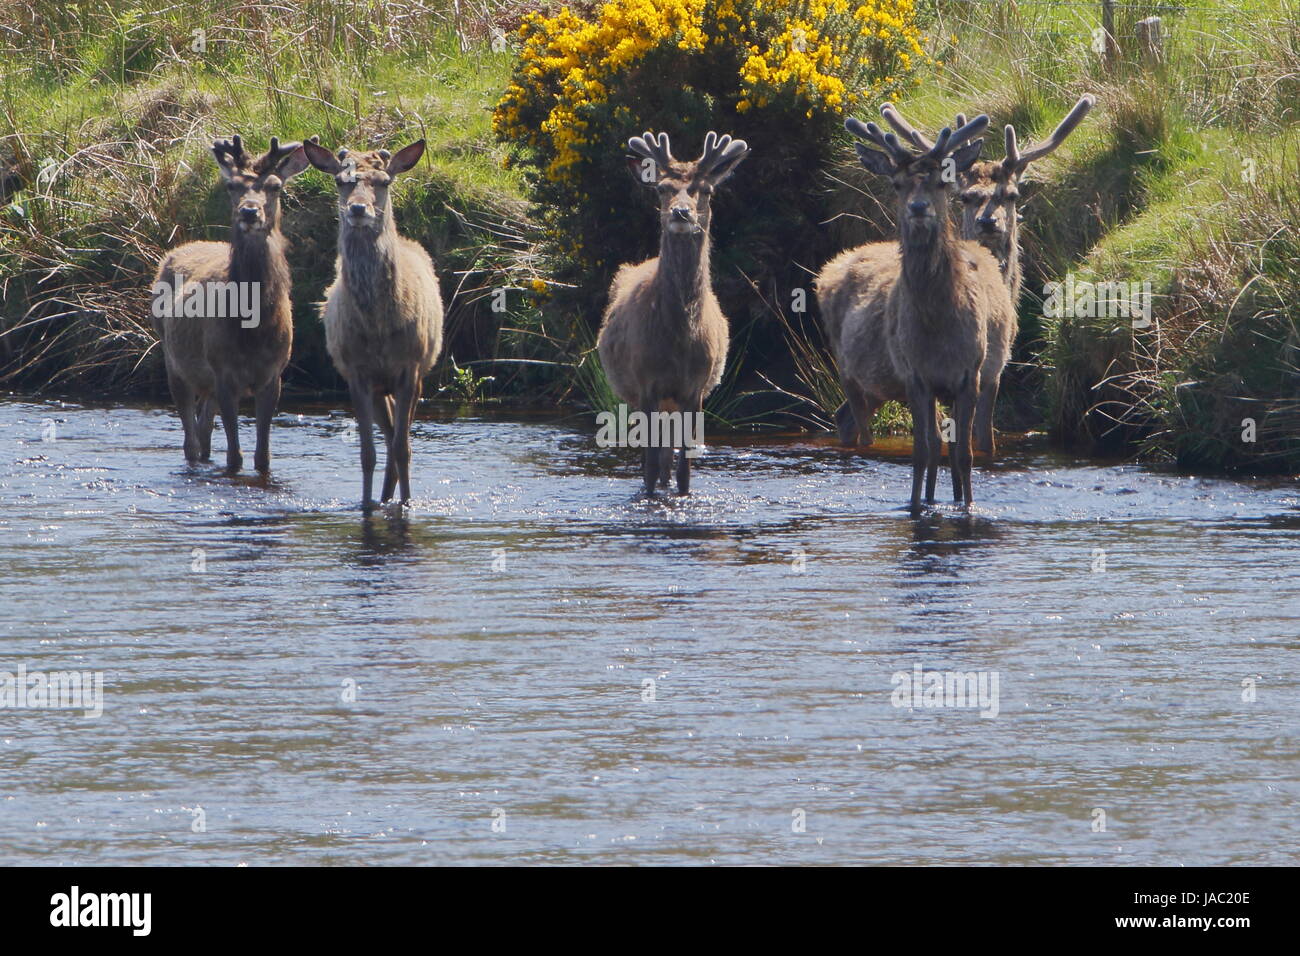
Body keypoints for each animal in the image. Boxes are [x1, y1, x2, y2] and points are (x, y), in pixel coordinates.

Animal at [150, 132, 308, 476]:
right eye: (231, 186)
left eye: (275, 186)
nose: (249, 212)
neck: (254, 329)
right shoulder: (222, 370)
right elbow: (235, 457)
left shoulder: (273, 375)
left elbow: (263, 457)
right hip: (173, 359)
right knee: (191, 440)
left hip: (205, 380)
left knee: (204, 431)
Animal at [301, 139, 444, 512]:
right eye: (341, 181)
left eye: (384, 181)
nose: (358, 209)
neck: (378, 325)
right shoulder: (356, 372)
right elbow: (367, 453)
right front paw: (366, 504)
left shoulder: (409, 367)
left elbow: (403, 449)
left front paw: (407, 504)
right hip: (381, 388)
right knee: (389, 431)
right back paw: (381, 498)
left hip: (418, 374)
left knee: (398, 437)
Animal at [595, 130, 748, 496]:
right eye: (662, 188)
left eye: (706, 190)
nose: (681, 213)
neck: (678, 340)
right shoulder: (645, 382)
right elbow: (649, 466)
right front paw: (651, 495)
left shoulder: (696, 388)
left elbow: (684, 470)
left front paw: (681, 494)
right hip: (634, 394)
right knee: (651, 457)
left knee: (667, 456)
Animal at [811, 113, 1013, 515]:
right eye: (897, 183)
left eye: (942, 180)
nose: (919, 207)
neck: (938, 328)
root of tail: (827, 272)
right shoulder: (915, 374)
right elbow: (923, 452)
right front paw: (917, 506)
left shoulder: (970, 373)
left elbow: (963, 453)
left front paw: (966, 506)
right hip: (849, 371)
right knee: (860, 429)